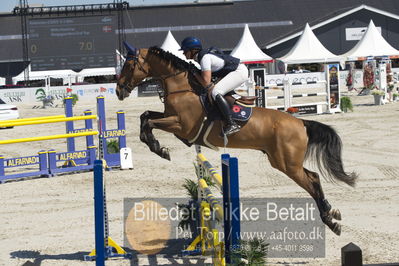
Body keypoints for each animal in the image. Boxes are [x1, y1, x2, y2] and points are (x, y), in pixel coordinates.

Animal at [116, 44, 360, 235]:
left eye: (128, 66)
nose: (119, 91)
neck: (182, 88)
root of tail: (301, 123)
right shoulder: (170, 118)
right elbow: (146, 116)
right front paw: (157, 146)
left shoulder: (181, 125)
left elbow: (149, 122)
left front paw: (159, 148)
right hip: (283, 161)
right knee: (313, 178)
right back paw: (331, 214)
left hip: (287, 163)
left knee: (312, 180)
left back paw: (329, 219)